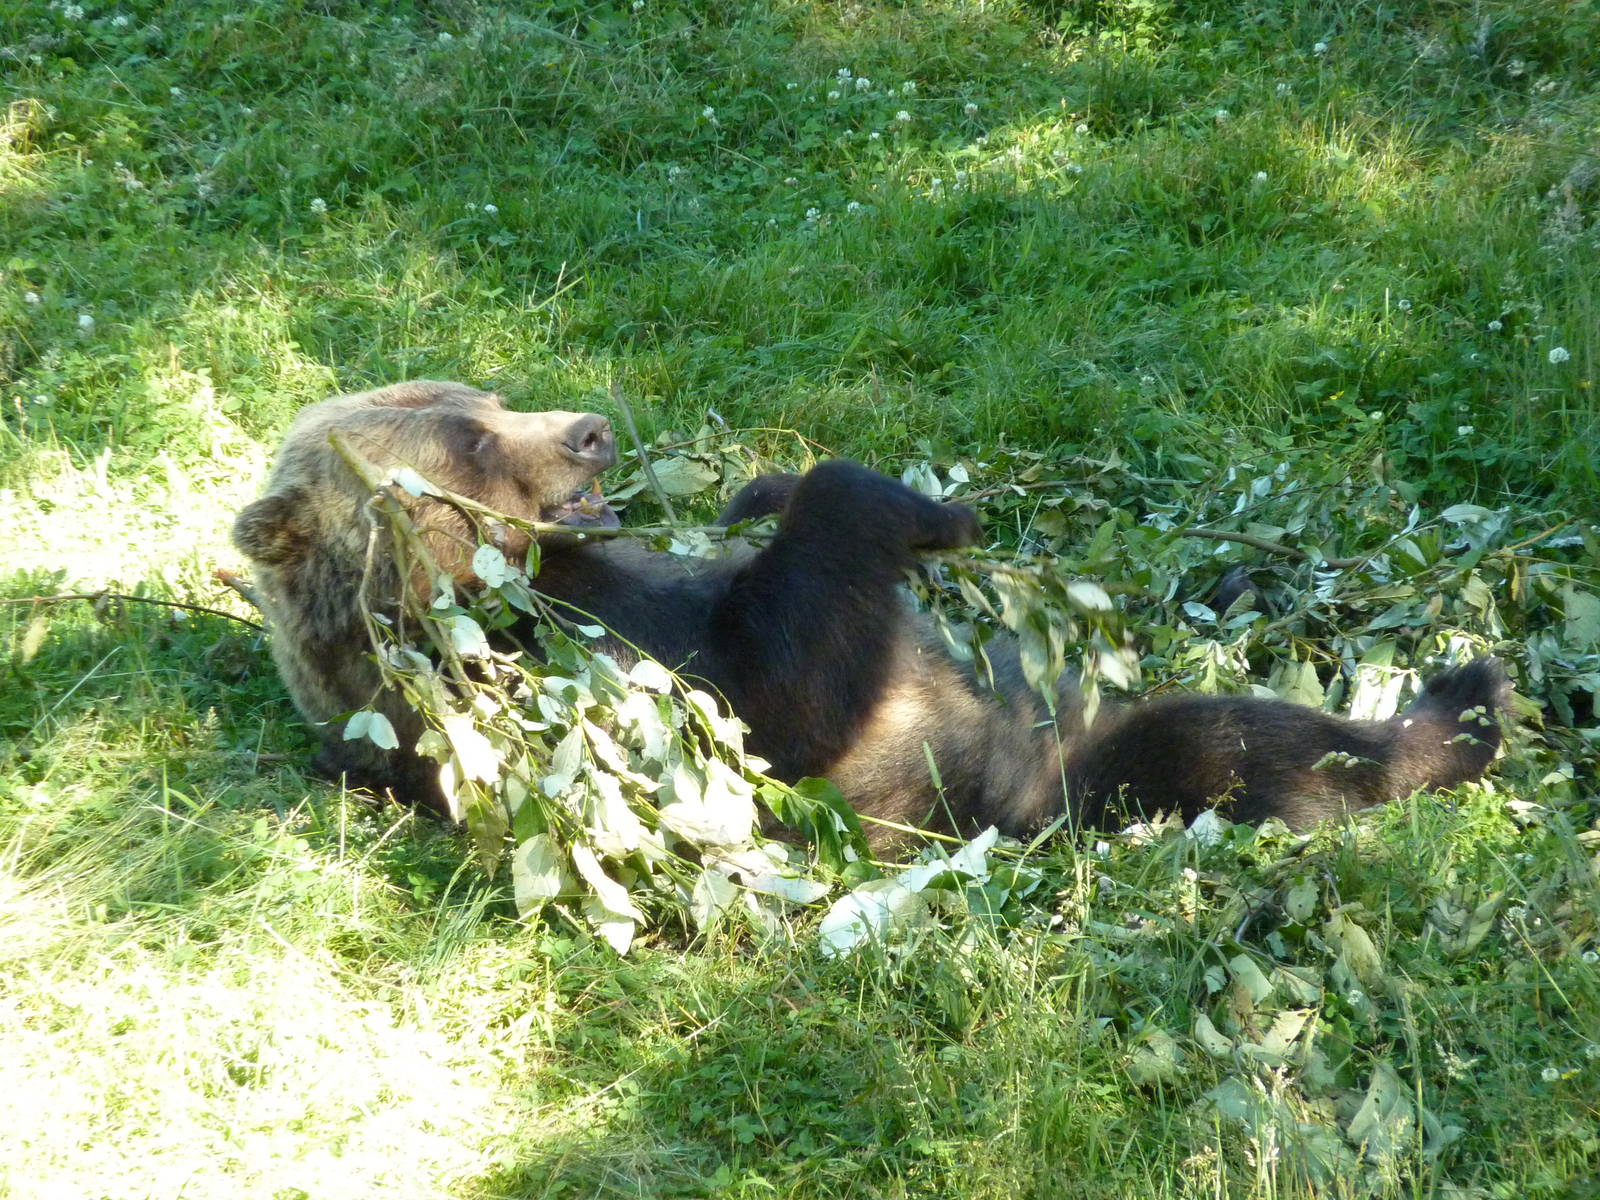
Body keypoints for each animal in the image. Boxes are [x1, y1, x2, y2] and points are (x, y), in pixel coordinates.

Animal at [232, 381, 1509, 848]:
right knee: (1221, 747)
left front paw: (759, 484)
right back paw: (1457, 711)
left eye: (488, 397)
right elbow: (780, 700)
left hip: (1038, 707)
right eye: (469, 436)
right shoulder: (582, 691)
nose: (589, 429)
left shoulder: (625, 584)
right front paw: (923, 510)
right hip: (1021, 800)